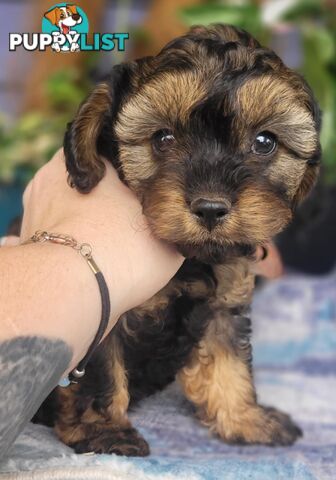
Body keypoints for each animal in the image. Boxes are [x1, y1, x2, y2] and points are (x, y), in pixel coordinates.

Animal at [33, 24, 320, 456]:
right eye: (163, 138)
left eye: (265, 142)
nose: (211, 208)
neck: (191, 258)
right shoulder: (108, 314)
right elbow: (101, 372)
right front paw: (103, 431)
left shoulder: (225, 300)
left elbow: (229, 359)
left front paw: (246, 419)